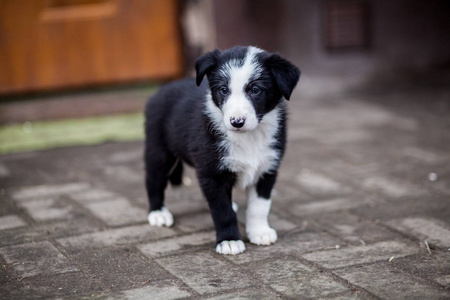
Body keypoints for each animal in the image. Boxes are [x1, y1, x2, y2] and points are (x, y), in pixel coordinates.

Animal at [144, 45, 298, 254]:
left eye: (256, 90)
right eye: (223, 90)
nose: (237, 122)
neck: (248, 137)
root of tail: (161, 90)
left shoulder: (268, 168)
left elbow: (259, 206)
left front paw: (260, 232)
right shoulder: (212, 173)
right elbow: (222, 211)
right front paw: (229, 240)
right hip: (159, 151)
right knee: (153, 180)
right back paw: (158, 213)